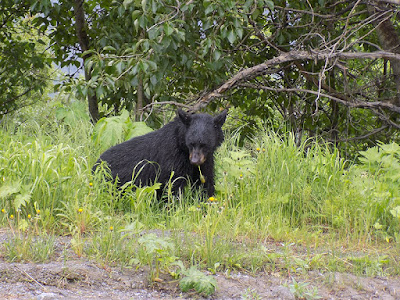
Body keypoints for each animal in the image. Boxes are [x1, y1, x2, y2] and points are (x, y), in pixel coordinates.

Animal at [92, 109, 227, 198]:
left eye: (204, 144)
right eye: (191, 143)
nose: (194, 161)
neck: (181, 145)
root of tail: (95, 165)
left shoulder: (206, 159)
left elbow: (205, 180)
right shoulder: (172, 156)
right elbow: (173, 182)